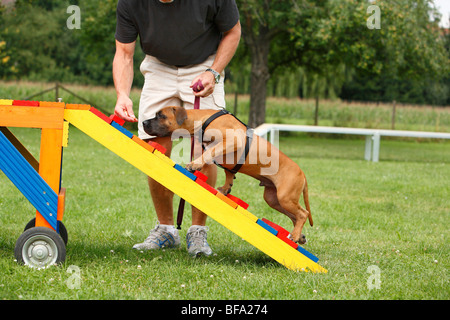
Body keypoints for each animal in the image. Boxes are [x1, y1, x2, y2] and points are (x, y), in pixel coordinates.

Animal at [143, 106, 312, 244]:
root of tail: (303, 173)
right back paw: (298, 236)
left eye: (161, 115)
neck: (201, 120)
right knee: (295, 216)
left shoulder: (231, 140)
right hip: (274, 199)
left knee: (303, 214)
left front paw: (195, 164)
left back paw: (295, 235)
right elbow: (228, 172)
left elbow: (210, 151)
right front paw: (225, 188)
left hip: (285, 197)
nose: (144, 122)